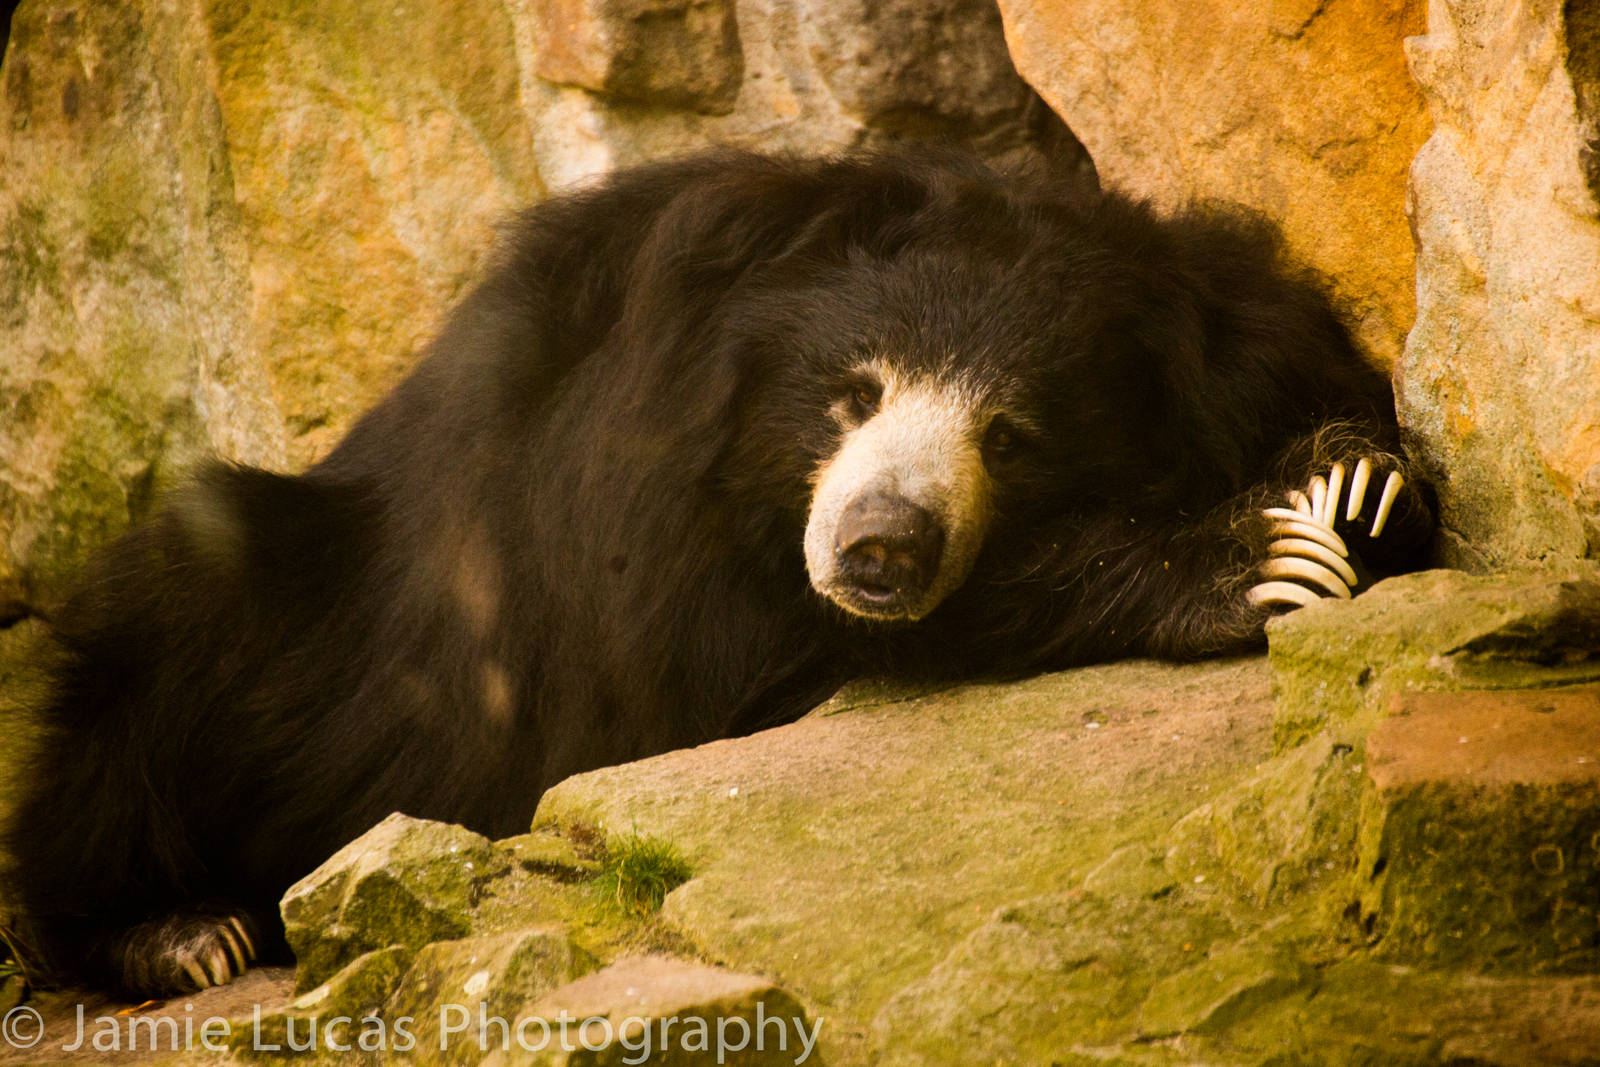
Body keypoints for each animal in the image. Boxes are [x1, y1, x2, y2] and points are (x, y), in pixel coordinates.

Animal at [1, 145, 1432, 999]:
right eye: (851, 391)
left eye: (1011, 436)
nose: (880, 550)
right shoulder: (612, 497)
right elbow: (696, 693)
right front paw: (1258, 548)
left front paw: (1352, 477)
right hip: (262, 607)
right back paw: (183, 931)